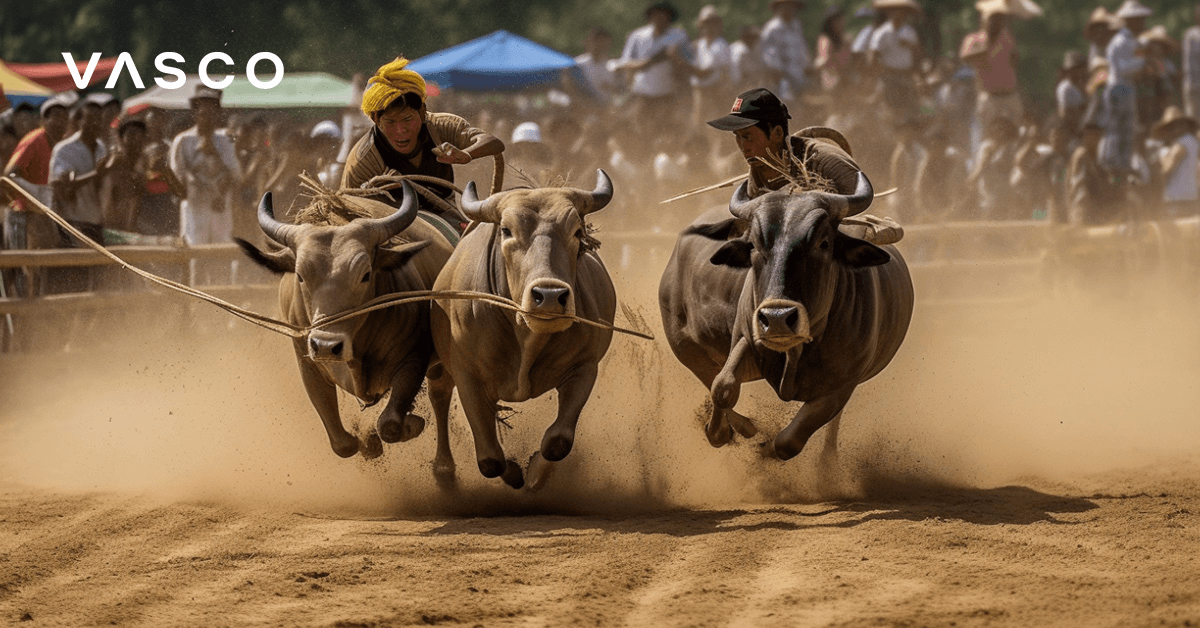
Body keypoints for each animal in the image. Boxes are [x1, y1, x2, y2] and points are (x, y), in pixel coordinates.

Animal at [237, 181, 453, 470]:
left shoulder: (414, 359)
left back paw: (444, 466)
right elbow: (342, 444)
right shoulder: (309, 365)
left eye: (365, 275)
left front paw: (410, 424)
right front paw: (368, 443)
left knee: (440, 397)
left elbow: (389, 424)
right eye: (300, 276)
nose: (326, 346)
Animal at [432, 171, 619, 492]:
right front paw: (514, 472)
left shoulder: (584, 368)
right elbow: (490, 459)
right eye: (507, 230)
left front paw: (534, 474)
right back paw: (443, 468)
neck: (527, 337)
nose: (550, 295)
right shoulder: (467, 377)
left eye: (576, 232)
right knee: (440, 395)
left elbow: (557, 442)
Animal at [662, 171, 912, 461]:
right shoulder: (747, 338)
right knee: (709, 377)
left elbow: (788, 442)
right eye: (753, 245)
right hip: (686, 349)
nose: (778, 318)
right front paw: (723, 431)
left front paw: (765, 448)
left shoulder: (842, 386)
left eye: (824, 243)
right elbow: (722, 386)